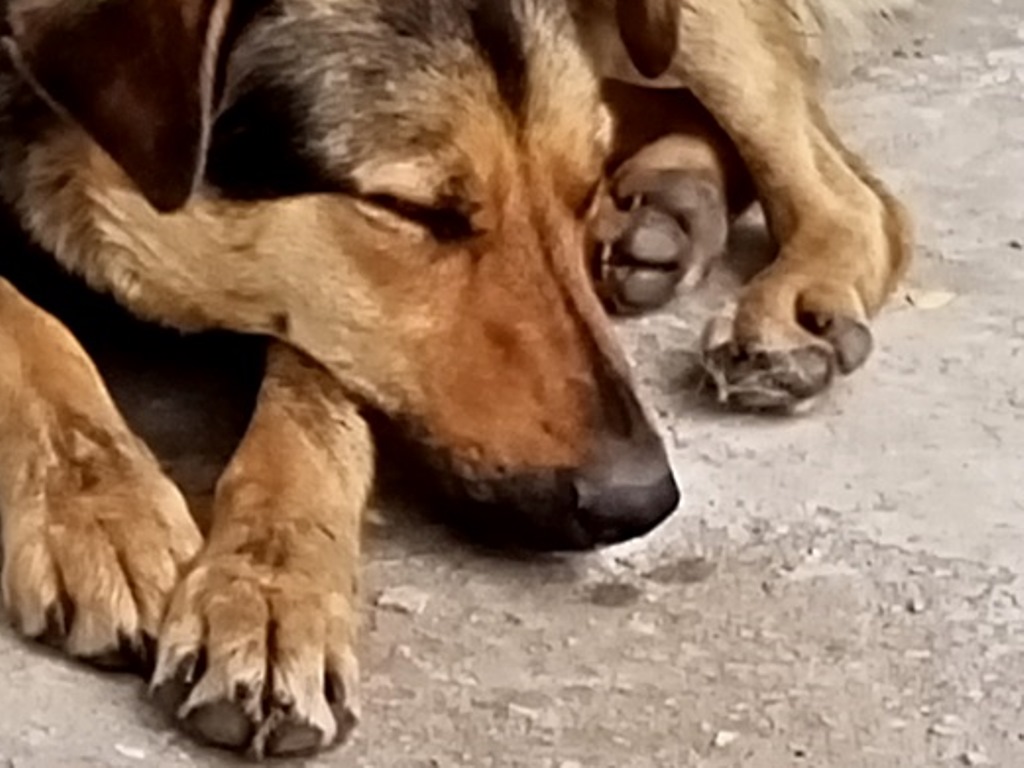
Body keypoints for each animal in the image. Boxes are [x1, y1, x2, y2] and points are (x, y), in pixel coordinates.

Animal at [0, 0, 913, 761]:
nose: (641, 501)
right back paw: (671, 205)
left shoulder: (331, 308)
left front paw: (272, 591)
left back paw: (785, 296)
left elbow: (314, 409)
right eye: (419, 214)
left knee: (859, 199)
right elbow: (26, 327)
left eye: (577, 191)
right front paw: (99, 508)